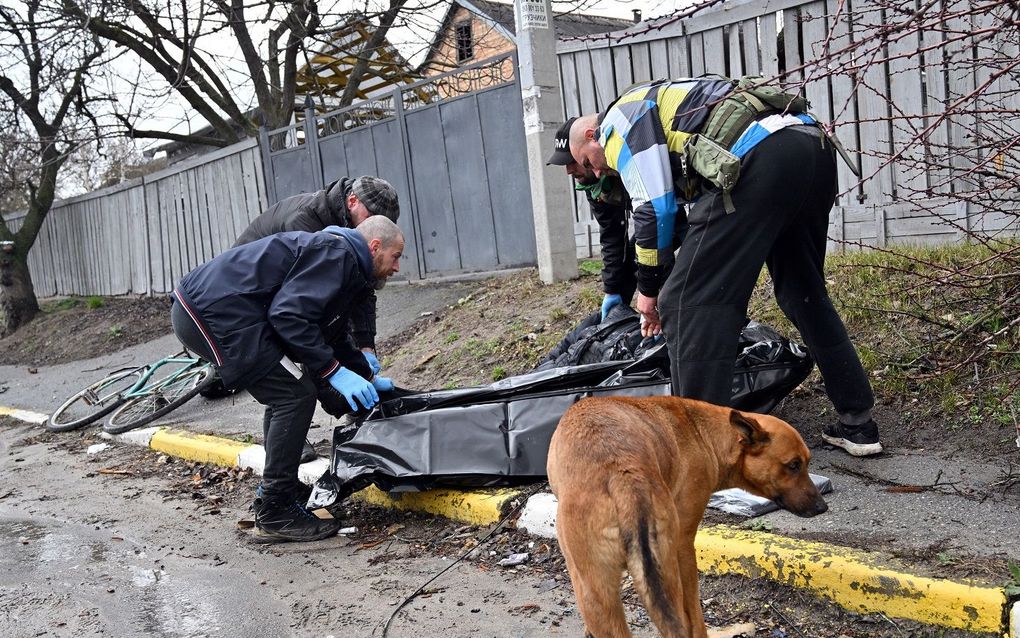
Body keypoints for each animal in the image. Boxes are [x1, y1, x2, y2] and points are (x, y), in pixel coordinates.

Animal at [546, 396, 824, 632]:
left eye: (806, 463)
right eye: (793, 465)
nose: (823, 507)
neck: (705, 434)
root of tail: (622, 475)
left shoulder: (682, 547)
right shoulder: (684, 546)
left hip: (608, 590)